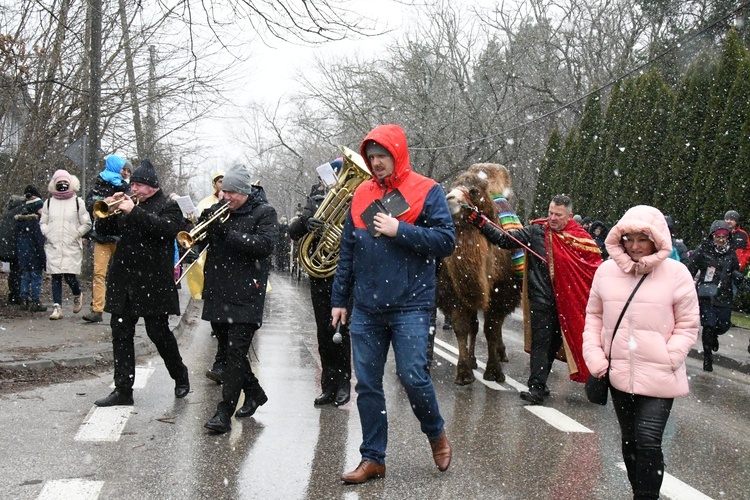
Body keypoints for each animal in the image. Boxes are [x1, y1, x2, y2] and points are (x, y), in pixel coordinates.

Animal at [440, 164, 524, 386]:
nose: (448, 198)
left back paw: (500, 354)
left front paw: (494, 373)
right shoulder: (456, 294)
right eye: (451, 186)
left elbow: (492, 330)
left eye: (473, 191)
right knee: (474, 326)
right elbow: (462, 327)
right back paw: (472, 360)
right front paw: (464, 373)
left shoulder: (500, 294)